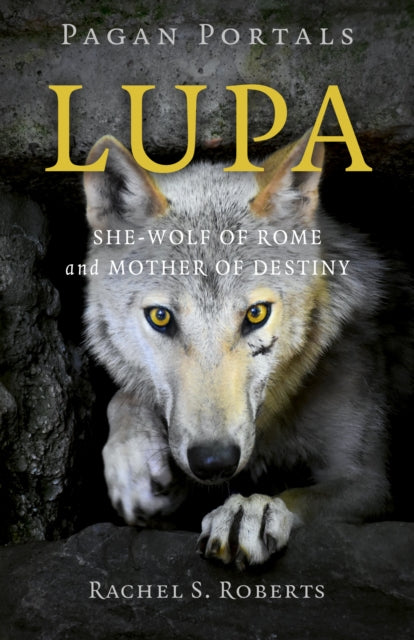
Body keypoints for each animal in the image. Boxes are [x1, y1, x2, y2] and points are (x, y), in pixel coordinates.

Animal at [83, 132, 391, 569]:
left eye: (256, 314)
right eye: (160, 317)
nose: (214, 461)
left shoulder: (367, 481)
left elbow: (298, 494)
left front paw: (251, 508)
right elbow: (123, 397)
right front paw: (132, 464)